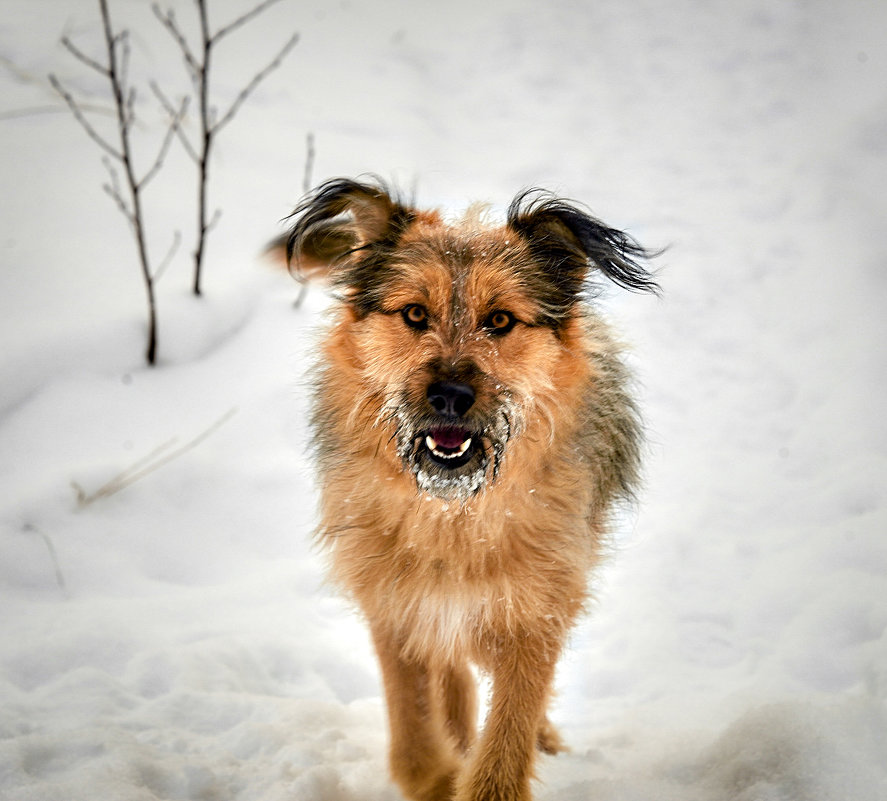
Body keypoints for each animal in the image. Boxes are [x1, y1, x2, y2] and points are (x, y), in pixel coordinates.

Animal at [284, 181, 660, 800]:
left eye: (500, 319)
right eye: (415, 313)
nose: (450, 395)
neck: (455, 512)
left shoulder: (537, 607)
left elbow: (508, 734)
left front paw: (493, 763)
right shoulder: (396, 602)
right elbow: (414, 733)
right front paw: (441, 773)